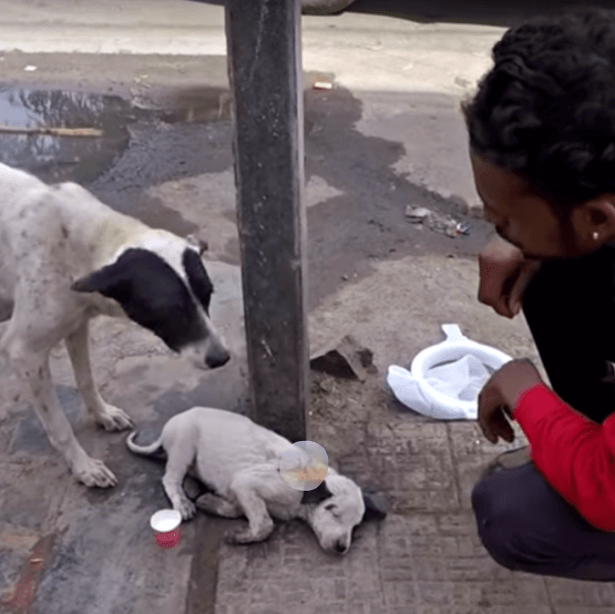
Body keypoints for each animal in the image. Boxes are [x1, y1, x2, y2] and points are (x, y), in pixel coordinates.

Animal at [0, 164, 230, 490]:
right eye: (170, 308)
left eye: (207, 294)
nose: (221, 358)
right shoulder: (24, 353)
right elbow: (59, 426)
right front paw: (83, 467)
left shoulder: (76, 322)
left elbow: (85, 379)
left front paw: (102, 413)